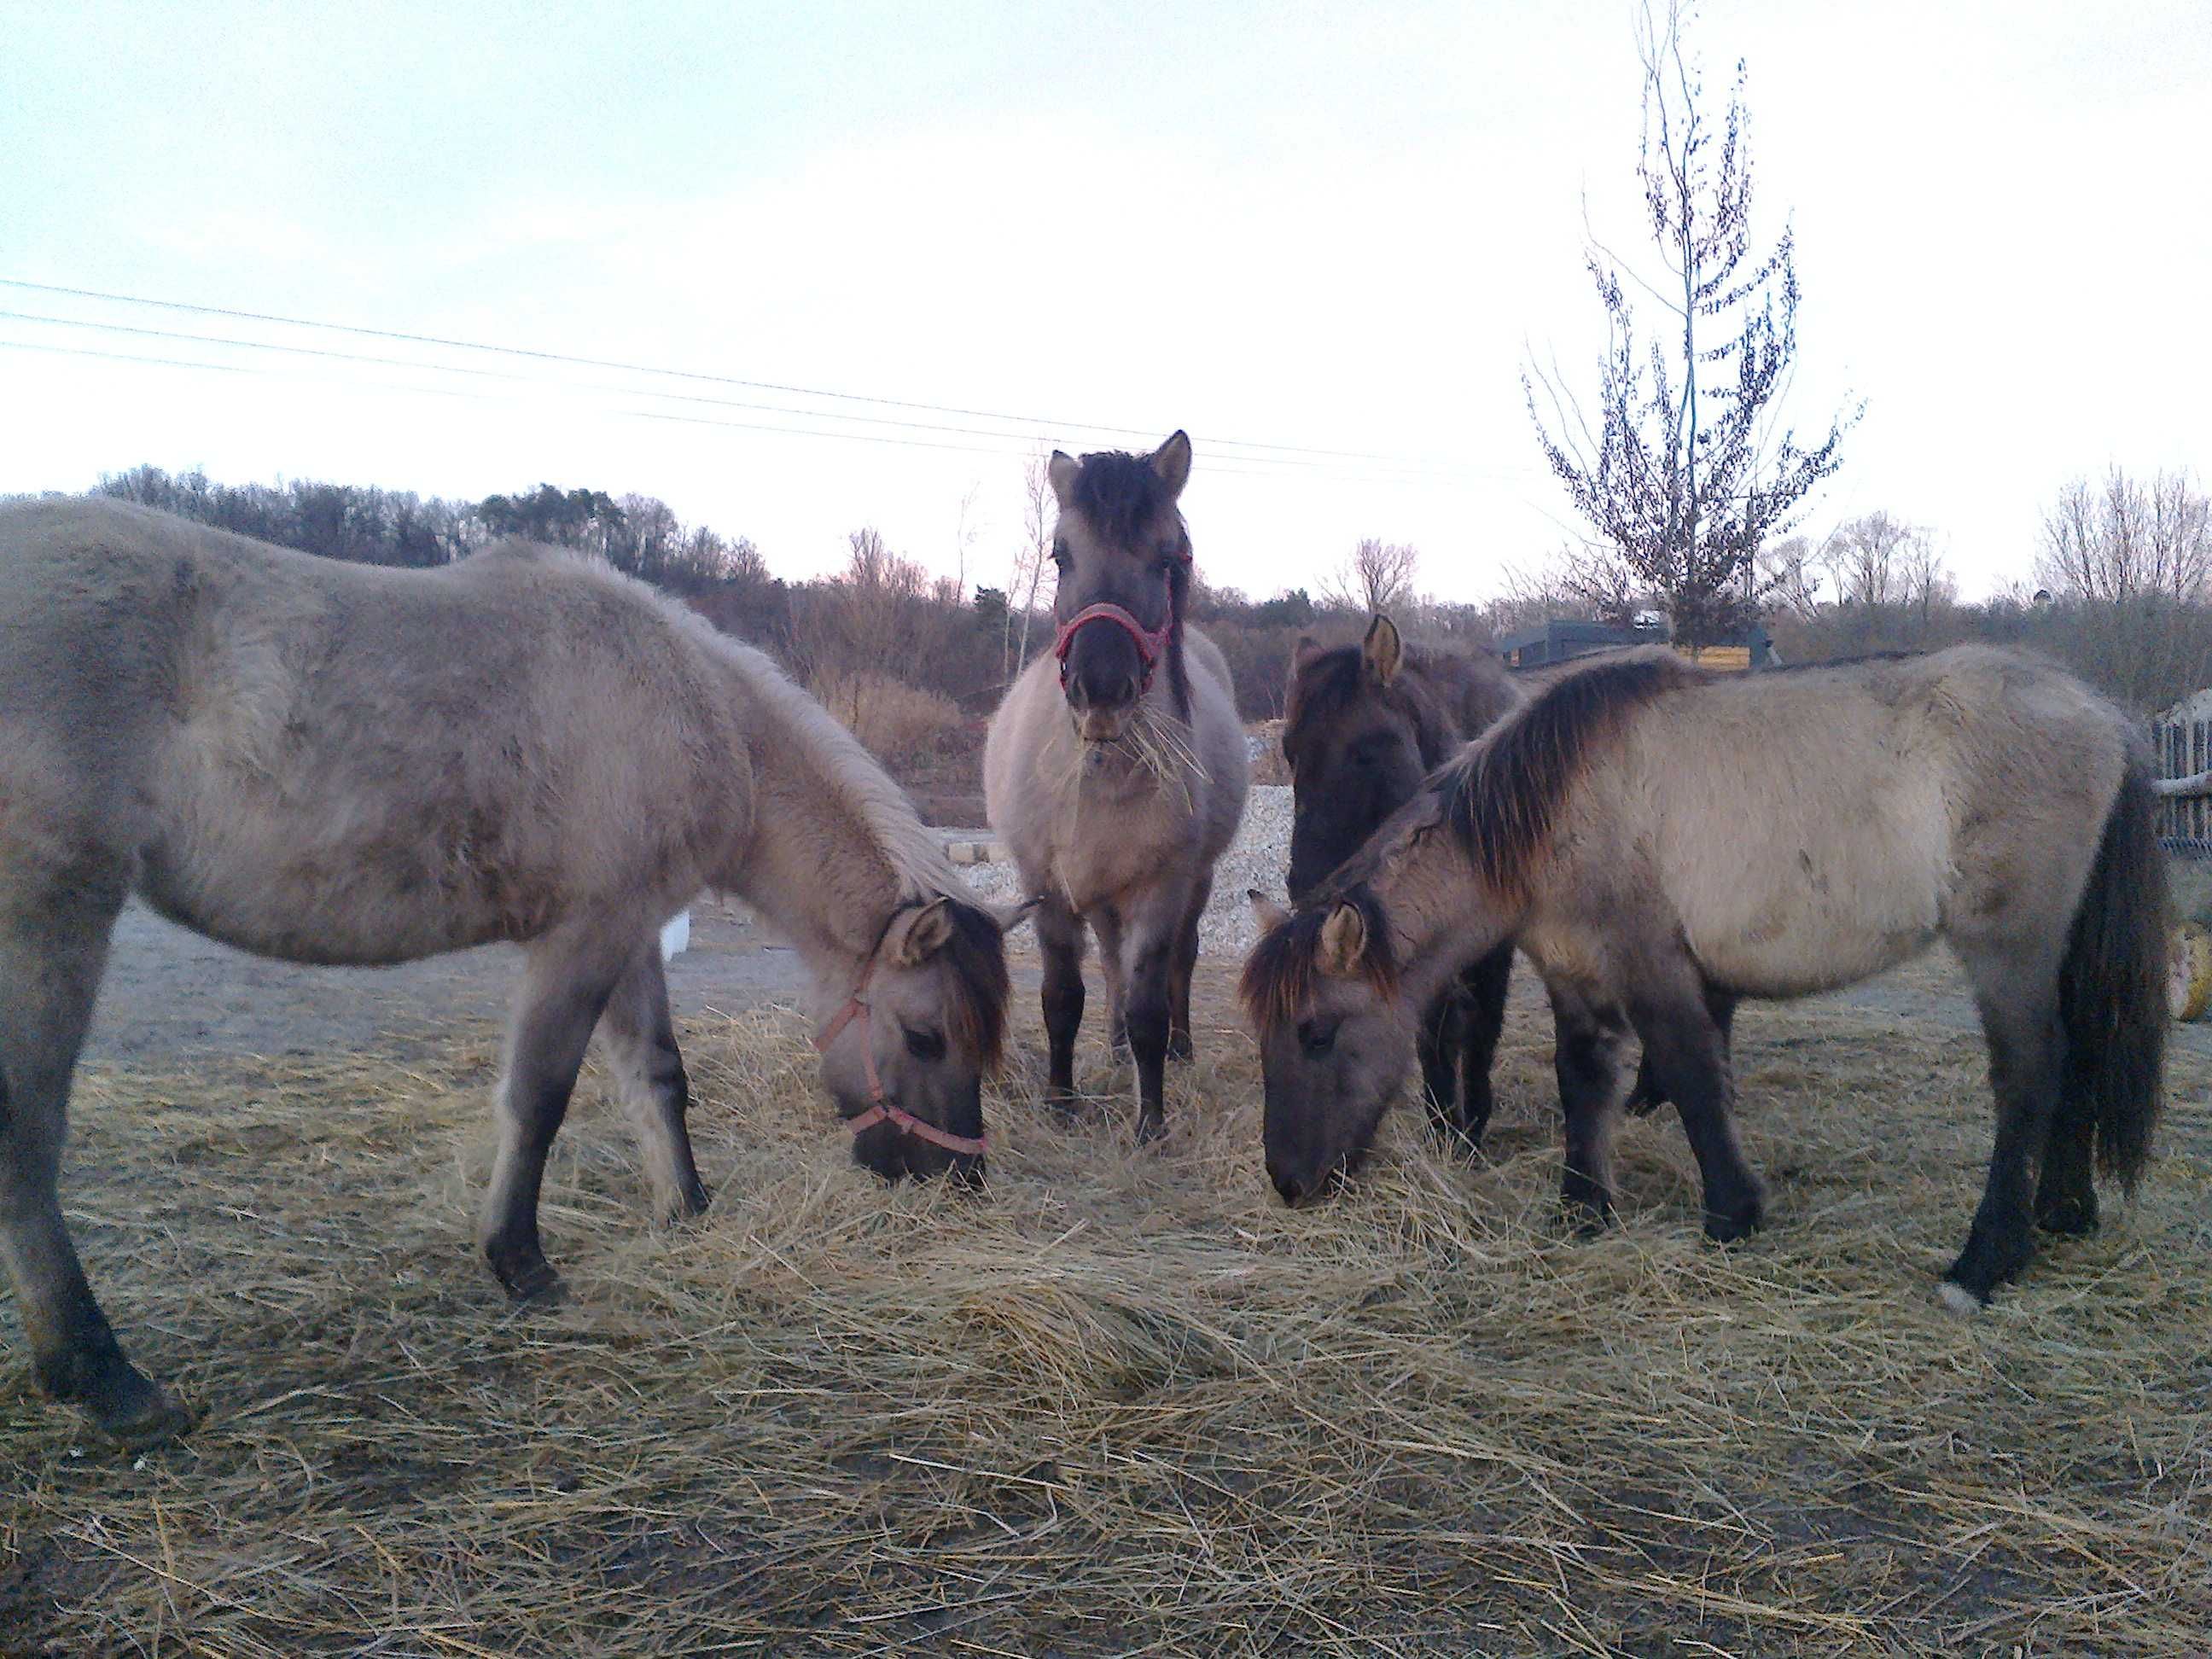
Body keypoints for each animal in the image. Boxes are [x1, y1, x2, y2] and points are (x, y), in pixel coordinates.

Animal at [0, 499, 1017, 1451]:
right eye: (923, 1035)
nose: (960, 1180)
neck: (699, 712)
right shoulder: (581, 935)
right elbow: (539, 1099)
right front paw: (520, 1262)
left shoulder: (633, 930)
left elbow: (658, 1077)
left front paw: (686, 1210)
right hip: (51, 913)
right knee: (26, 1135)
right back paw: (103, 1376)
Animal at [1283, 619, 1522, 1150]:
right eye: (1289, 754)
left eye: (1366, 752)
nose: (1305, 885)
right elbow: (1432, 1030)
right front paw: (1443, 1122)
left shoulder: (1498, 945)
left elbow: (1484, 1025)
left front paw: (1473, 1125)